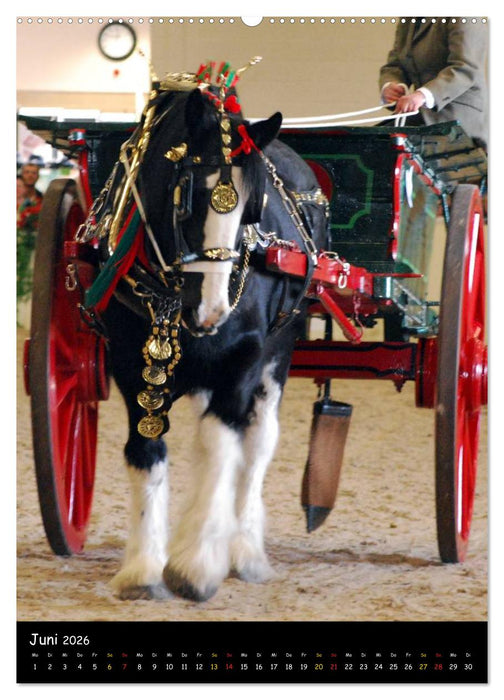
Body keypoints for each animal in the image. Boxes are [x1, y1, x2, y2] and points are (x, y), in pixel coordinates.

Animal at [85, 65, 328, 602]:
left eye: (254, 211)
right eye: (188, 194)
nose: (212, 310)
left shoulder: (244, 358)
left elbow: (221, 446)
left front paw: (195, 565)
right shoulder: (130, 363)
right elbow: (146, 451)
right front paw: (143, 568)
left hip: (280, 350)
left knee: (256, 445)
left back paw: (245, 551)